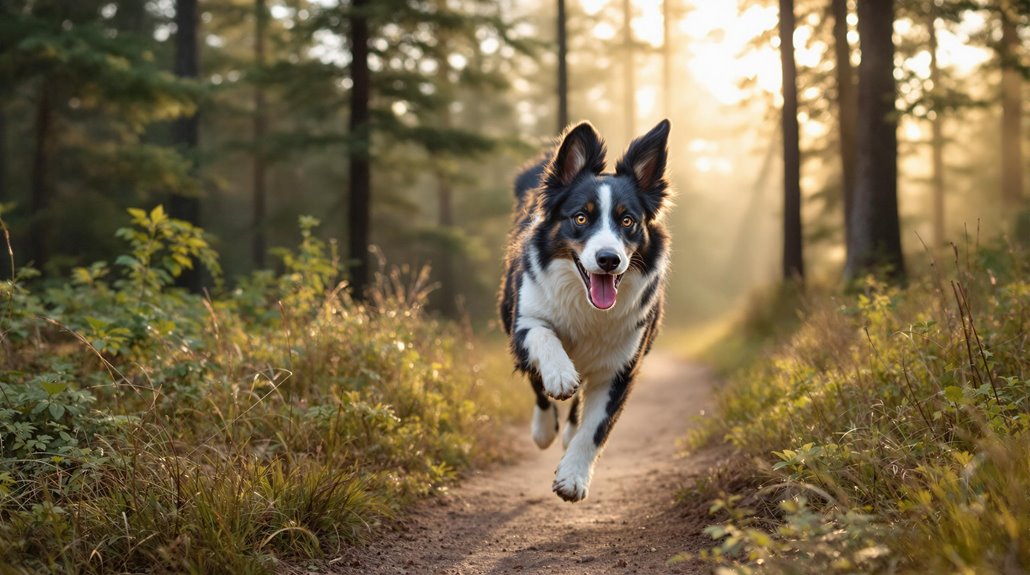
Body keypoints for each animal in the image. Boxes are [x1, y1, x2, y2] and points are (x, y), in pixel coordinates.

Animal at [500, 119, 675, 502]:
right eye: (581, 217)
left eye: (628, 221)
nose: (608, 260)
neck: (585, 302)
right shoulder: (524, 321)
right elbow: (545, 340)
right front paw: (560, 376)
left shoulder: (622, 366)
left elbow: (597, 428)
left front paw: (573, 477)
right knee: (537, 385)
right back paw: (545, 429)